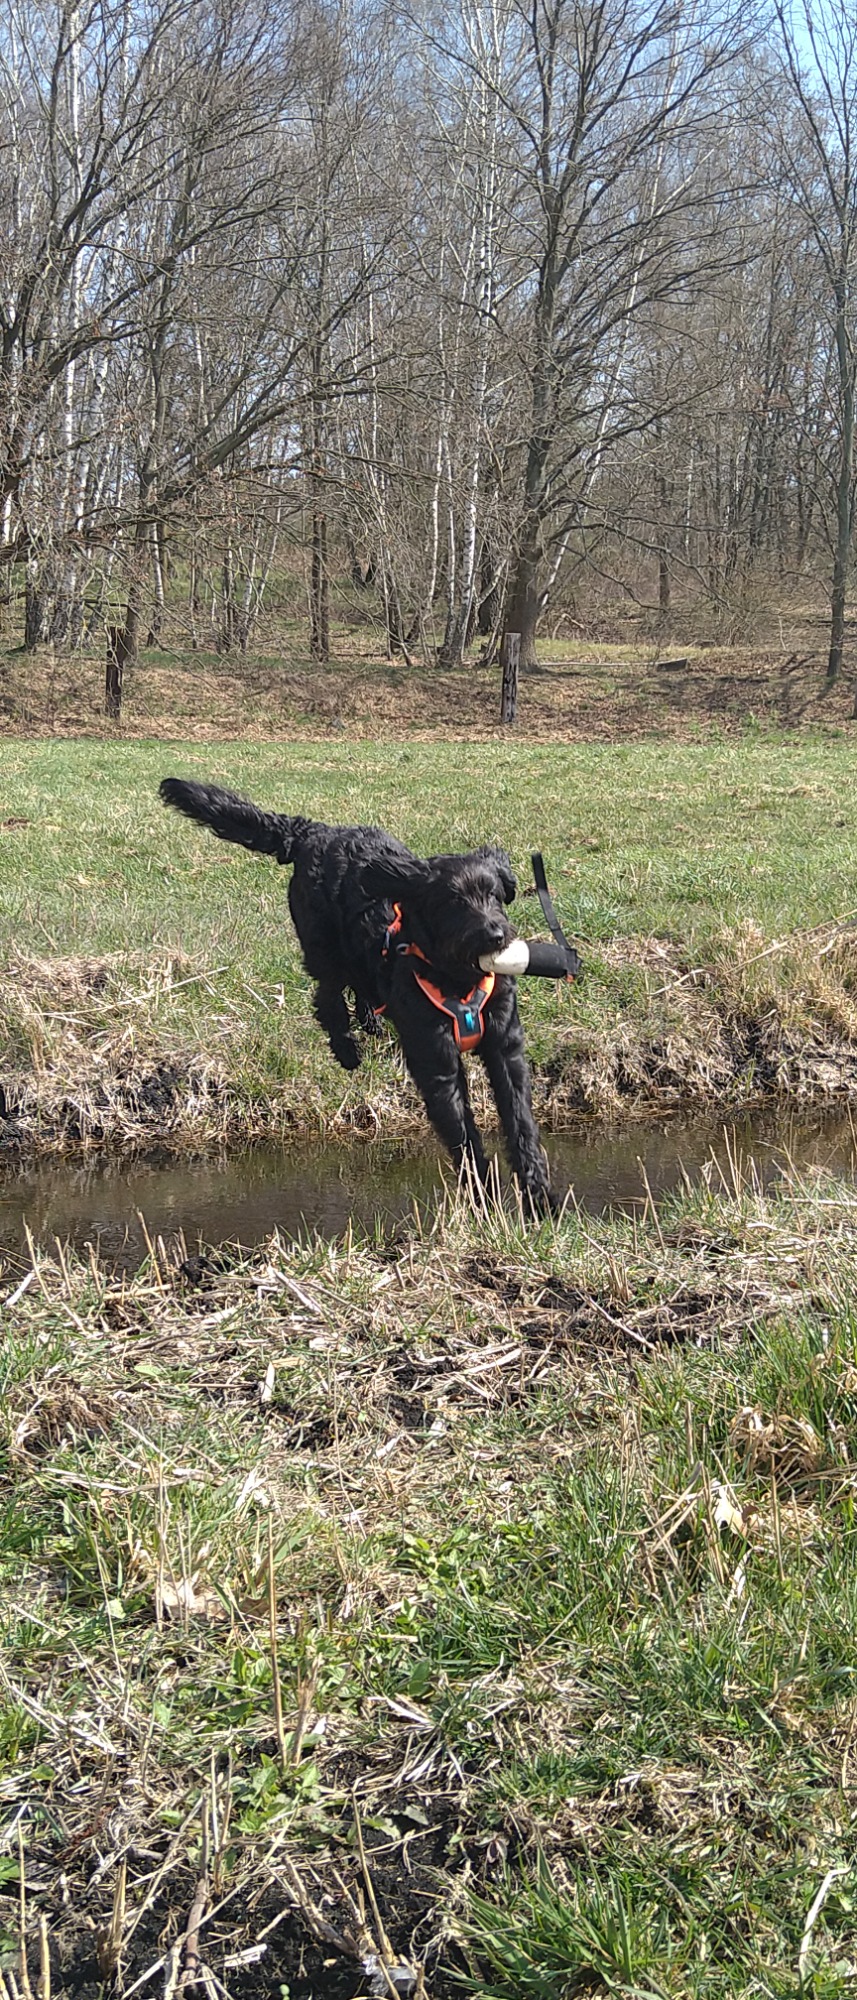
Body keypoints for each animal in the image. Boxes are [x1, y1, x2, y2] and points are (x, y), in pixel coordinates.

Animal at [160, 778, 553, 1210]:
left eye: (494, 894)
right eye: (453, 901)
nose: (495, 935)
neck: (457, 979)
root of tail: (313, 831)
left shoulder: (504, 1045)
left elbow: (519, 1119)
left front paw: (537, 1192)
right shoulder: (436, 1061)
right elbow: (462, 1131)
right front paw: (484, 1193)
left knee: (361, 986)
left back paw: (371, 1022)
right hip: (322, 947)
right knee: (327, 999)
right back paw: (348, 1049)